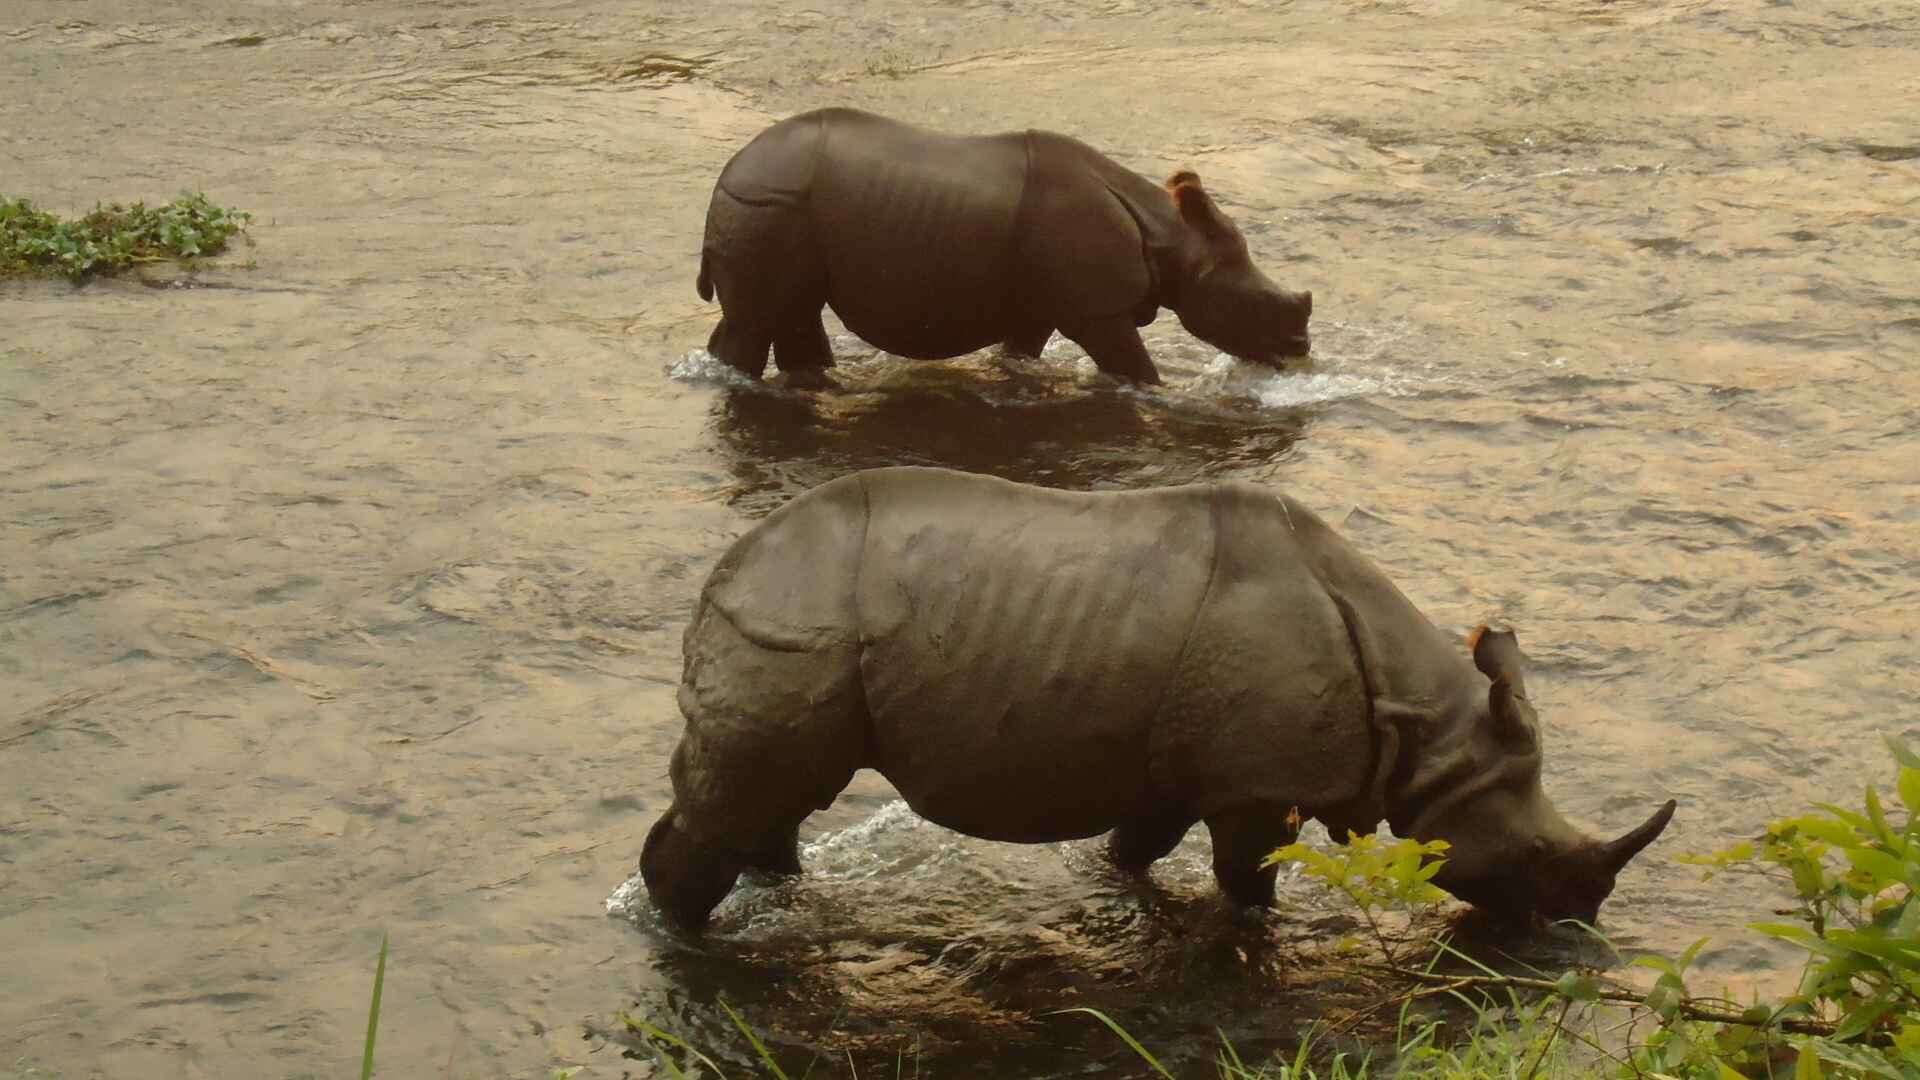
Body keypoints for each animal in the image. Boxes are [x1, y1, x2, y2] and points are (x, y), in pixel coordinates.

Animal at [641, 467, 1675, 930]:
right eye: (1535, 861)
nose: (1580, 923)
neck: (1429, 725)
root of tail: (724, 572)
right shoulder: (1258, 785)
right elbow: (1247, 881)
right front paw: (1255, 934)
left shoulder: (1182, 766)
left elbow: (1135, 849)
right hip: (791, 627)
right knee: (748, 793)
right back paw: (688, 937)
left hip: (800, 629)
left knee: (775, 797)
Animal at [696, 108, 1314, 385]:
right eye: (1255, 304)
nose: (1299, 349)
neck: (1172, 238)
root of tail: (730, 170)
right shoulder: (1098, 310)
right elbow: (1134, 369)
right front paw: (1157, 390)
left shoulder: (1041, 304)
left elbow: (1020, 352)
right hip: (766, 206)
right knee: (760, 320)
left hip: (777, 207)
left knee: (793, 314)